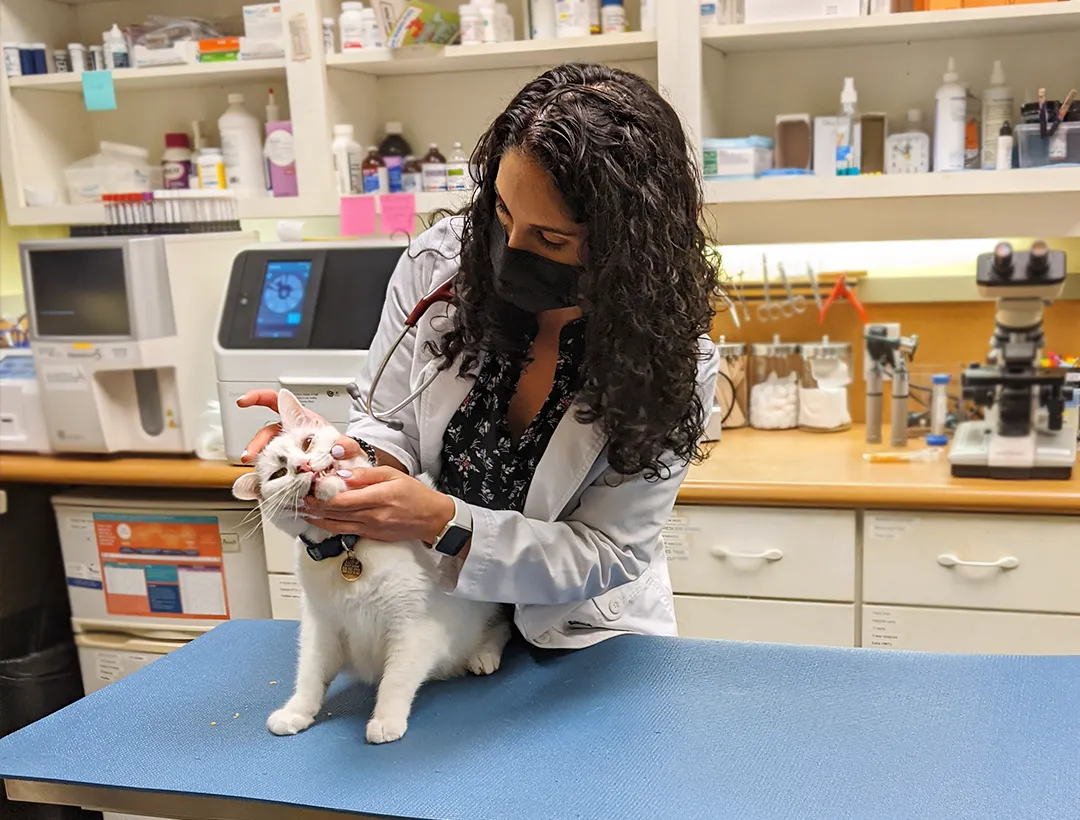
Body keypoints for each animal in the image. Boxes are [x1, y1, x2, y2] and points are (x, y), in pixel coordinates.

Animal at [233, 388, 509, 743]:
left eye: (307, 443)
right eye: (278, 475)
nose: (302, 464)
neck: (348, 546)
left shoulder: (412, 628)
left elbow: (395, 679)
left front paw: (386, 720)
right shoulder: (321, 628)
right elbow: (310, 675)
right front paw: (296, 712)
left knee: (502, 627)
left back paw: (483, 654)